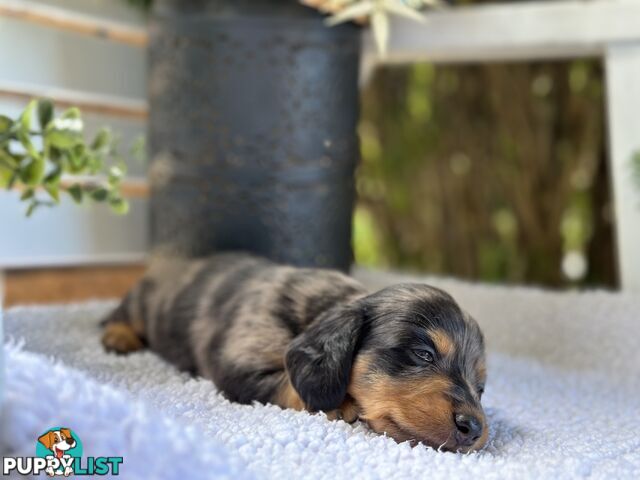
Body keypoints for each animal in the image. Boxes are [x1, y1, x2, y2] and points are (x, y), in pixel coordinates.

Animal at [102, 253, 488, 452]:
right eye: (424, 354)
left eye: (481, 387)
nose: (474, 429)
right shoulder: (241, 364)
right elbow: (289, 385)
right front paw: (342, 404)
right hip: (142, 302)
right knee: (118, 315)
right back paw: (118, 337)